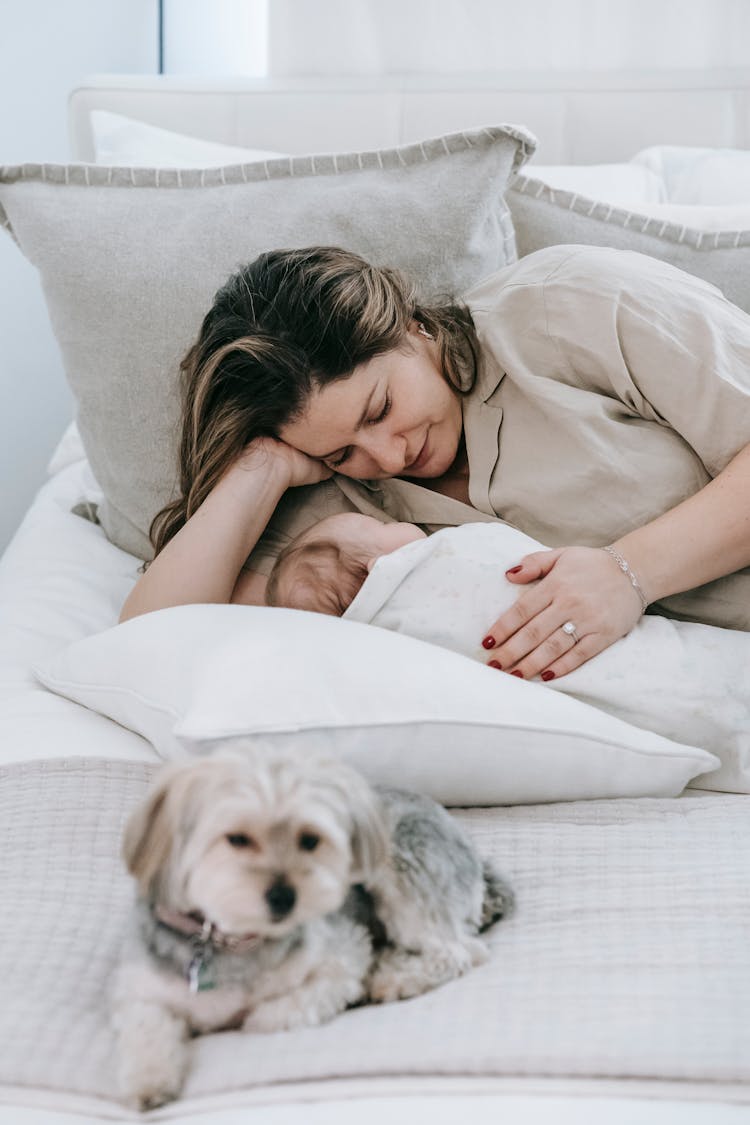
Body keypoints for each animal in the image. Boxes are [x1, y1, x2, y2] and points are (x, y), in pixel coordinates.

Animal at [111, 747, 512, 1107]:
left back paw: (392, 978)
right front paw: (147, 1083)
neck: (229, 941)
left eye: (309, 839)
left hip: (398, 869)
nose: (284, 897)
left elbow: (271, 1016)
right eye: (237, 838)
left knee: (458, 951)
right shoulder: (137, 988)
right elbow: (142, 1027)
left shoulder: (344, 952)